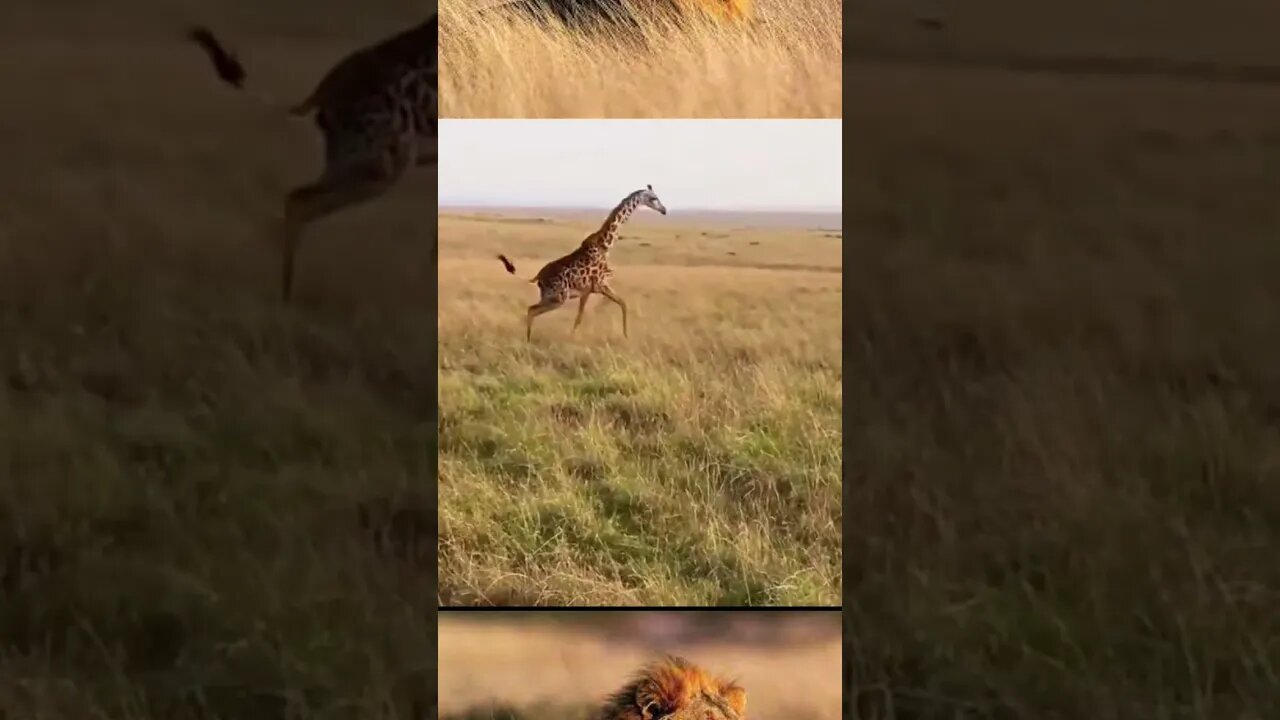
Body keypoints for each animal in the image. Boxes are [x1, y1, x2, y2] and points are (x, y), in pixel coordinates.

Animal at [183, 17, 437, 299]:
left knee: (297, 200)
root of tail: (324, 92)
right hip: (381, 167)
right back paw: (286, 298)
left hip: (356, 163)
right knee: (298, 201)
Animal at [496, 184, 670, 340]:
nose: (664, 210)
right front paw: (572, 338)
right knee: (531, 310)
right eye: (653, 198)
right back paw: (528, 340)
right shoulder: (596, 286)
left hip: (549, 297)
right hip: (559, 298)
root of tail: (538, 277)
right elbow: (580, 317)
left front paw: (626, 336)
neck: (605, 246)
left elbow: (622, 303)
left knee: (530, 309)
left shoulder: (594, 288)